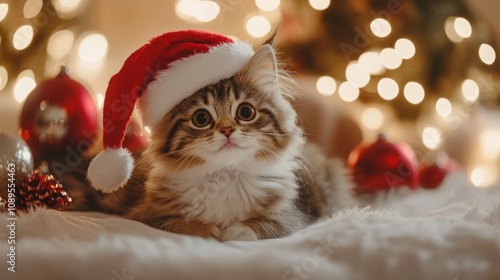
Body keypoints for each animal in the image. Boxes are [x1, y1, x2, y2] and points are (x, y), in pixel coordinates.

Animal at [61, 43, 356, 241]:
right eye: (201, 118)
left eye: (245, 112)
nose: (226, 130)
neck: (225, 175)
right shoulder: (145, 213)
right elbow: (179, 223)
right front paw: (207, 229)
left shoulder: (296, 215)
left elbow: (270, 224)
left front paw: (238, 230)